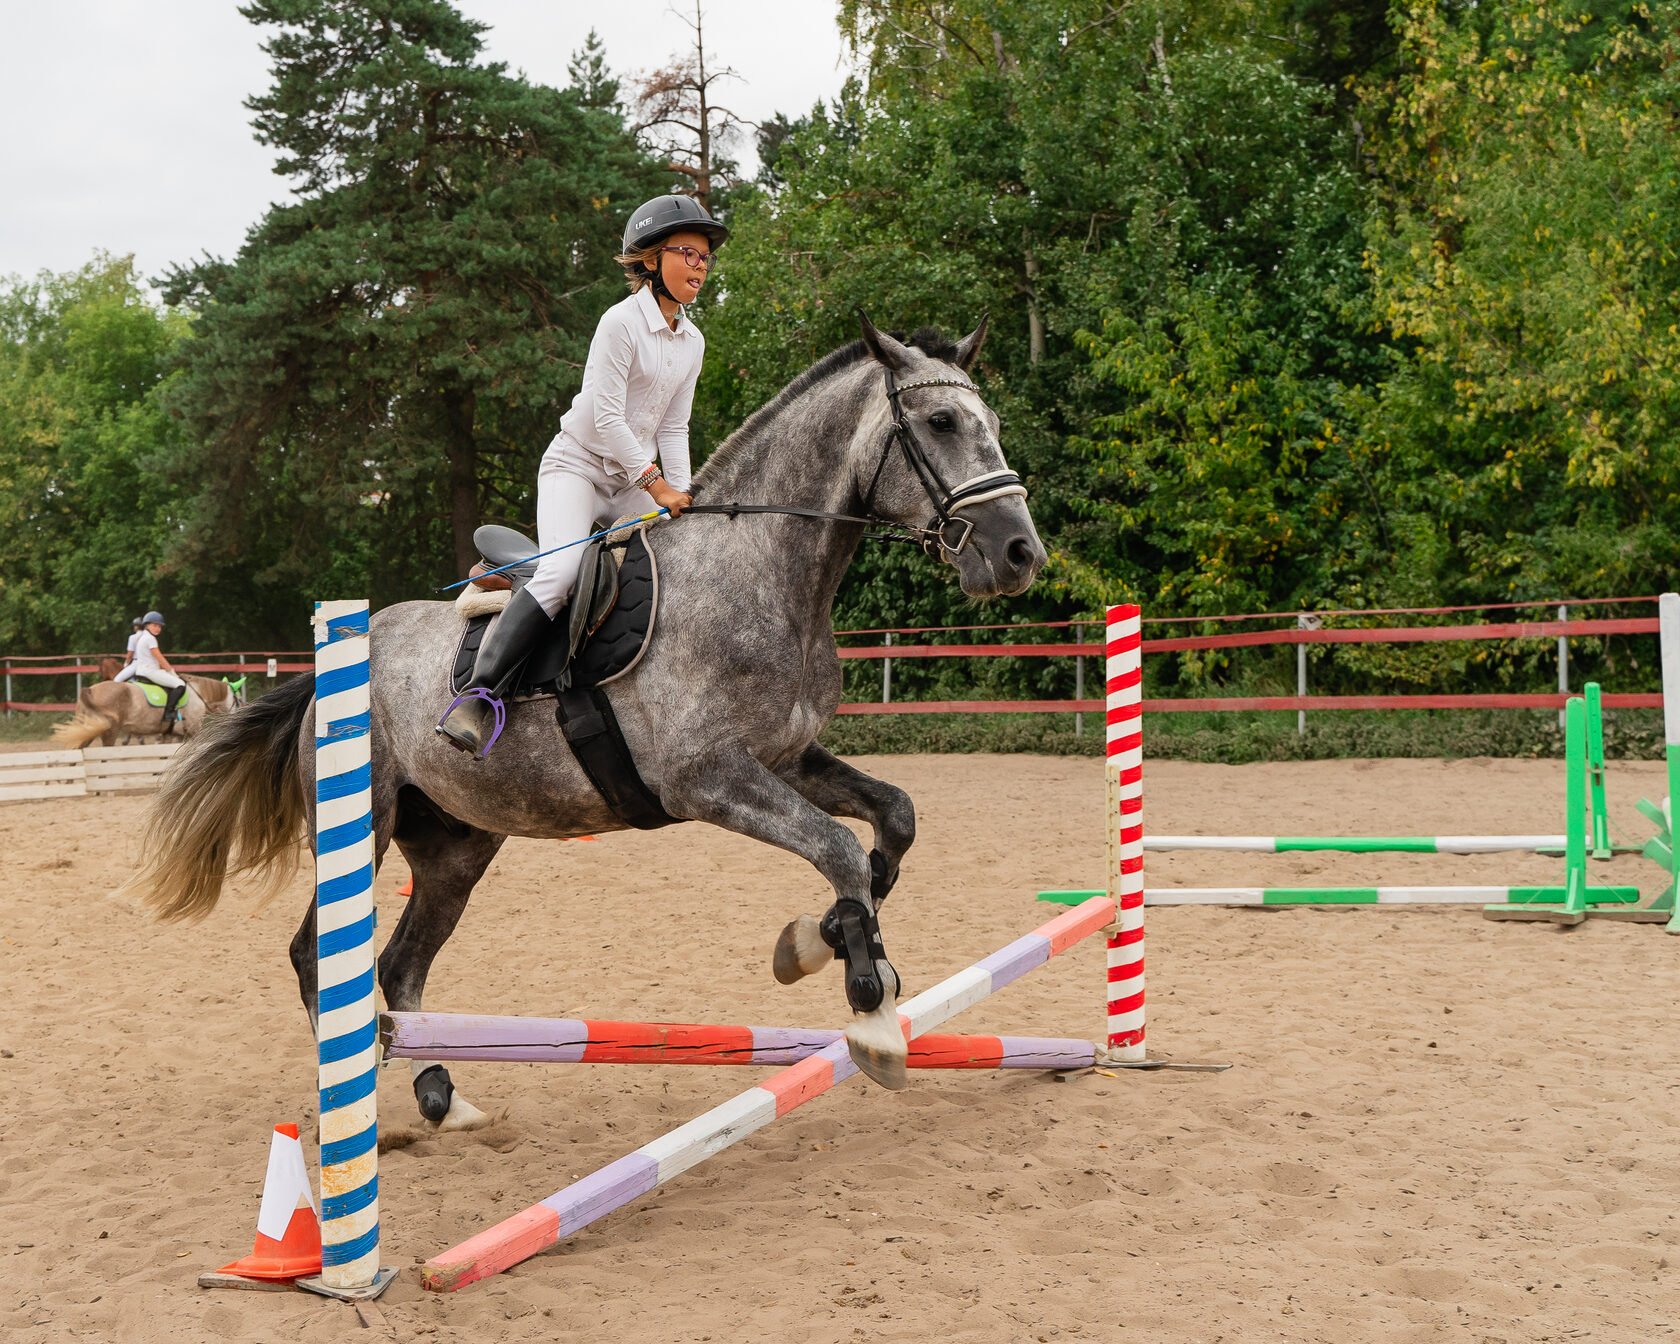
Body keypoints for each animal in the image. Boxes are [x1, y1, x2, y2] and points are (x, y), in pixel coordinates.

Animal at [131, 320, 1041, 1128]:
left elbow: (890, 825)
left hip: (457, 846)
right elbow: (842, 849)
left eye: (993, 424)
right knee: (318, 957)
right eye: (941, 422)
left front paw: (813, 941)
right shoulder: (707, 779)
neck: (766, 575)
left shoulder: (785, 758)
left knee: (401, 963)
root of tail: (334, 668)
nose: (1020, 554)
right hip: (367, 822)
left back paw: (440, 1093)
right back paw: (357, 1102)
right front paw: (872, 1015)